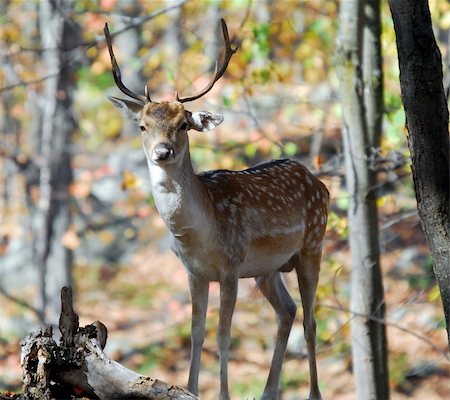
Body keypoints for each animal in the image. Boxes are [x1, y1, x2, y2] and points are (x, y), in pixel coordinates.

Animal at [103, 20, 326, 400]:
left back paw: (313, 393)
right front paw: (190, 388)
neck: (199, 234)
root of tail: (320, 184)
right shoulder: (194, 271)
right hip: (269, 268)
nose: (161, 152)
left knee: (310, 320)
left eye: (183, 125)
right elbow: (197, 333)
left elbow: (224, 335)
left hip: (313, 243)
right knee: (288, 311)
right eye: (143, 126)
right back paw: (268, 392)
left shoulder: (231, 266)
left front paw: (223, 394)